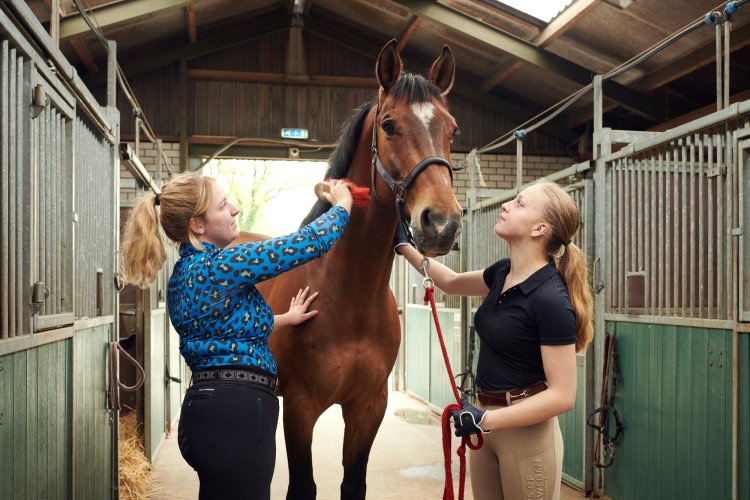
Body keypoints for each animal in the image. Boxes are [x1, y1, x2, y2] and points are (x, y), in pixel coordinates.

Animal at [232, 40, 464, 500]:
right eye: (389, 125)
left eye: (452, 130)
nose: (442, 224)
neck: (348, 297)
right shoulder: (301, 408)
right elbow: (303, 485)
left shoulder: (368, 407)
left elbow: (353, 482)